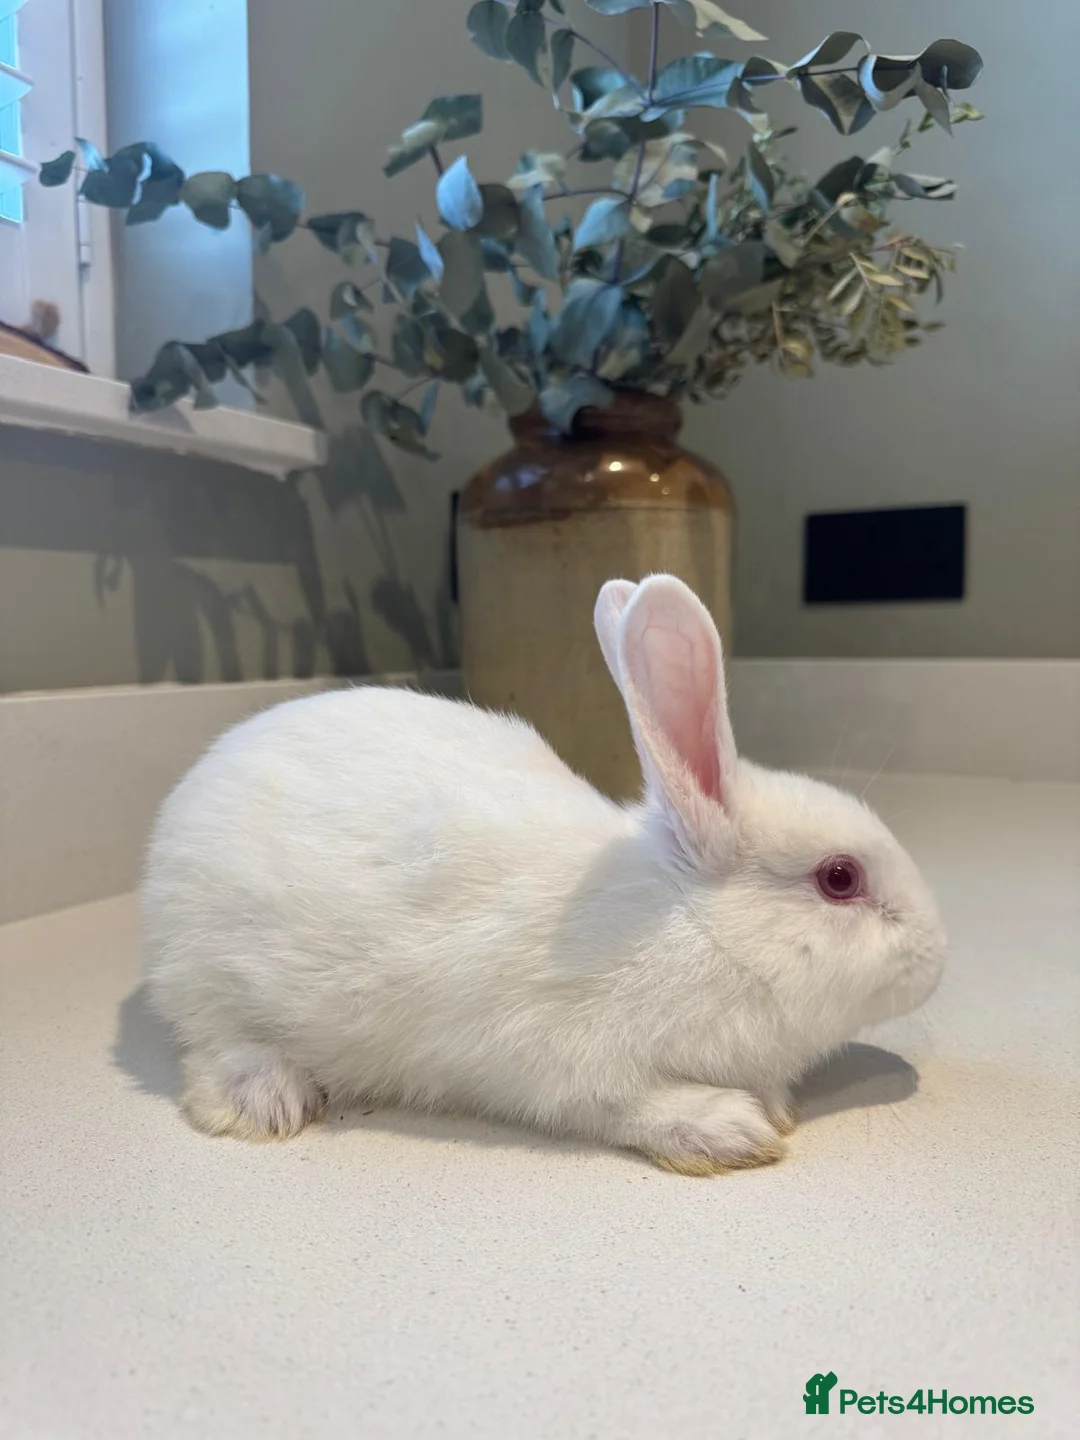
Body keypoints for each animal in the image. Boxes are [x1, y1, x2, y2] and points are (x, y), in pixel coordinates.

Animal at [141, 574, 946, 1175]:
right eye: (839, 878)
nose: (939, 956)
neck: (693, 926)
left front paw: (775, 1107)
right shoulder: (572, 1063)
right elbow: (627, 1106)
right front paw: (730, 1130)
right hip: (210, 979)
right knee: (212, 1045)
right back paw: (267, 1101)